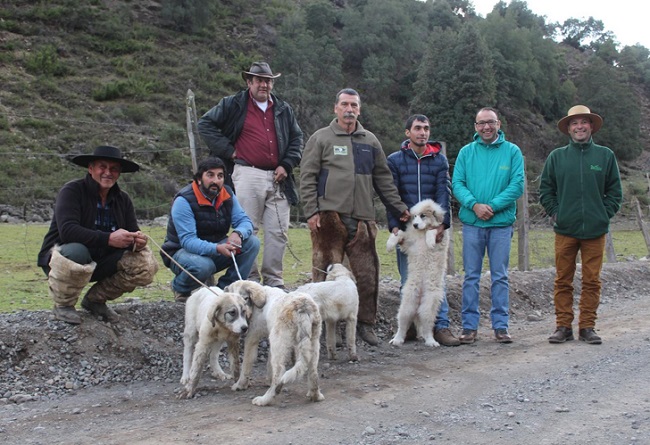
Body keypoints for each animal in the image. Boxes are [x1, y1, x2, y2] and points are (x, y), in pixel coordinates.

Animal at [382, 199, 448, 346]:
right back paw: (397, 340)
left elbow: (433, 231)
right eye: (414, 216)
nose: (415, 225)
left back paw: (431, 341)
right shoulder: (408, 242)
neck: (421, 232)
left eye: (423, 215)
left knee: (427, 326)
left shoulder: (441, 239)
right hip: (408, 303)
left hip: (429, 305)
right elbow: (400, 233)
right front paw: (389, 245)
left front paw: (430, 241)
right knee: (402, 324)